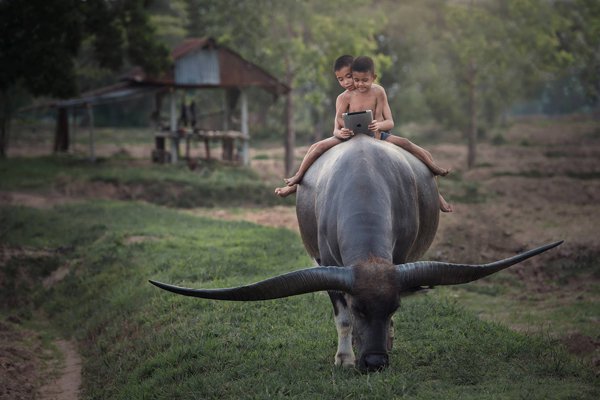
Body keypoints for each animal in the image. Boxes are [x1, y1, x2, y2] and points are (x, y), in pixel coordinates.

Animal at [151, 134, 564, 372]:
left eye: (394, 307)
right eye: (359, 307)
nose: (376, 362)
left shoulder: (399, 261)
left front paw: (388, 340)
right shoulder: (328, 266)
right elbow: (341, 320)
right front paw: (345, 358)